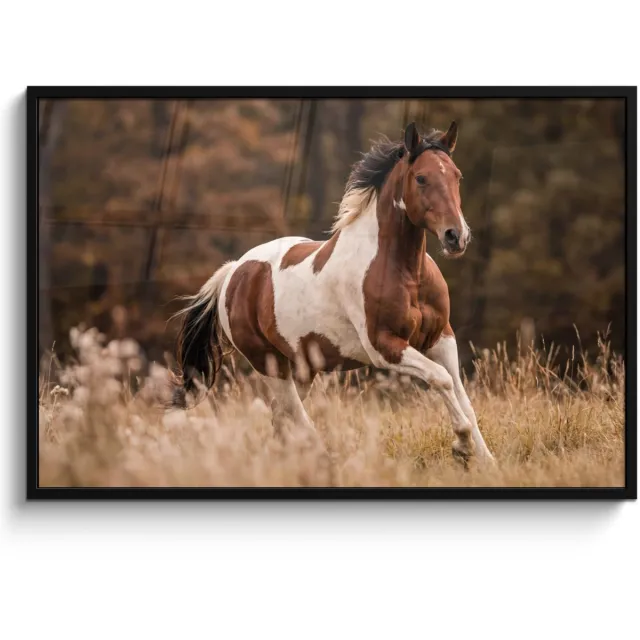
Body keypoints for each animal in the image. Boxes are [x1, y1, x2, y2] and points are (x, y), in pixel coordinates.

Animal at [172, 121, 495, 466]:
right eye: (421, 178)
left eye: (457, 176)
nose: (456, 236)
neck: (406, 272)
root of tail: (233, 272)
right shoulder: (385, 346)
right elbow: (441, 379)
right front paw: (462, 446)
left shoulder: (441, 338)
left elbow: (462, 395)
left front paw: (486, 460)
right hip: (269, 363)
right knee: (294, 416)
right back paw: (325, 457)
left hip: (302, 368)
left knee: (281, 418)